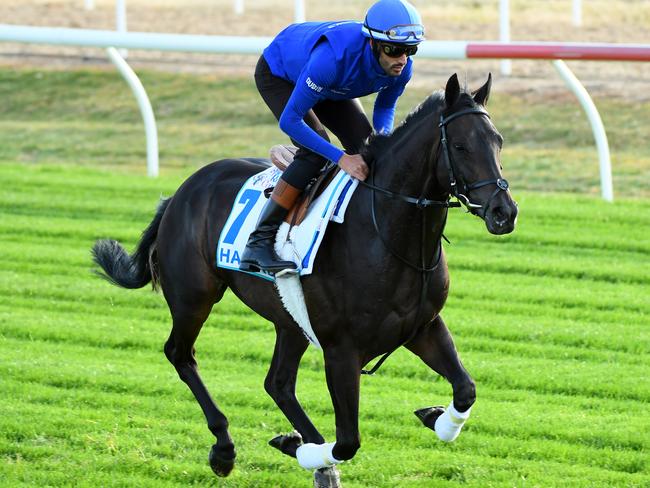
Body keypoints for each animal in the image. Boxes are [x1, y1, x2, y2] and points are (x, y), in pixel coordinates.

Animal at [91, 72, 516, 484]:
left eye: (498, 142)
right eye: (460, 146)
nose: (504, 212)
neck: (386, 233)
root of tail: (180, 193)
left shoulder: (422, 326)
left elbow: (465, 390)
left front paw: (435, 418)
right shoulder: (341, 350)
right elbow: (347, 441)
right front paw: (302, 450)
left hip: (289, 320)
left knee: (277, 383)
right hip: (194, 297)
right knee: (181, 355)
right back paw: (226, 448)